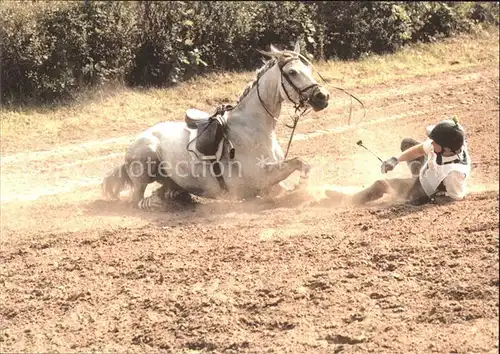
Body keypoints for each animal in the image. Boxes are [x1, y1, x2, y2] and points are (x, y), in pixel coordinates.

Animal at [102, 40, 330, 210]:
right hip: (146, 160)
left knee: (167, 192)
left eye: (308, 69)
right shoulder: (262, 178)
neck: (256, 127)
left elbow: (300, 169)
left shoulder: (272, 183)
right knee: (138, 201)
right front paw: (302, 187)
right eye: (292, 72)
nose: (323, 96)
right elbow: (299, 163)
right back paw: (157, 202)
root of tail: (133, 145)